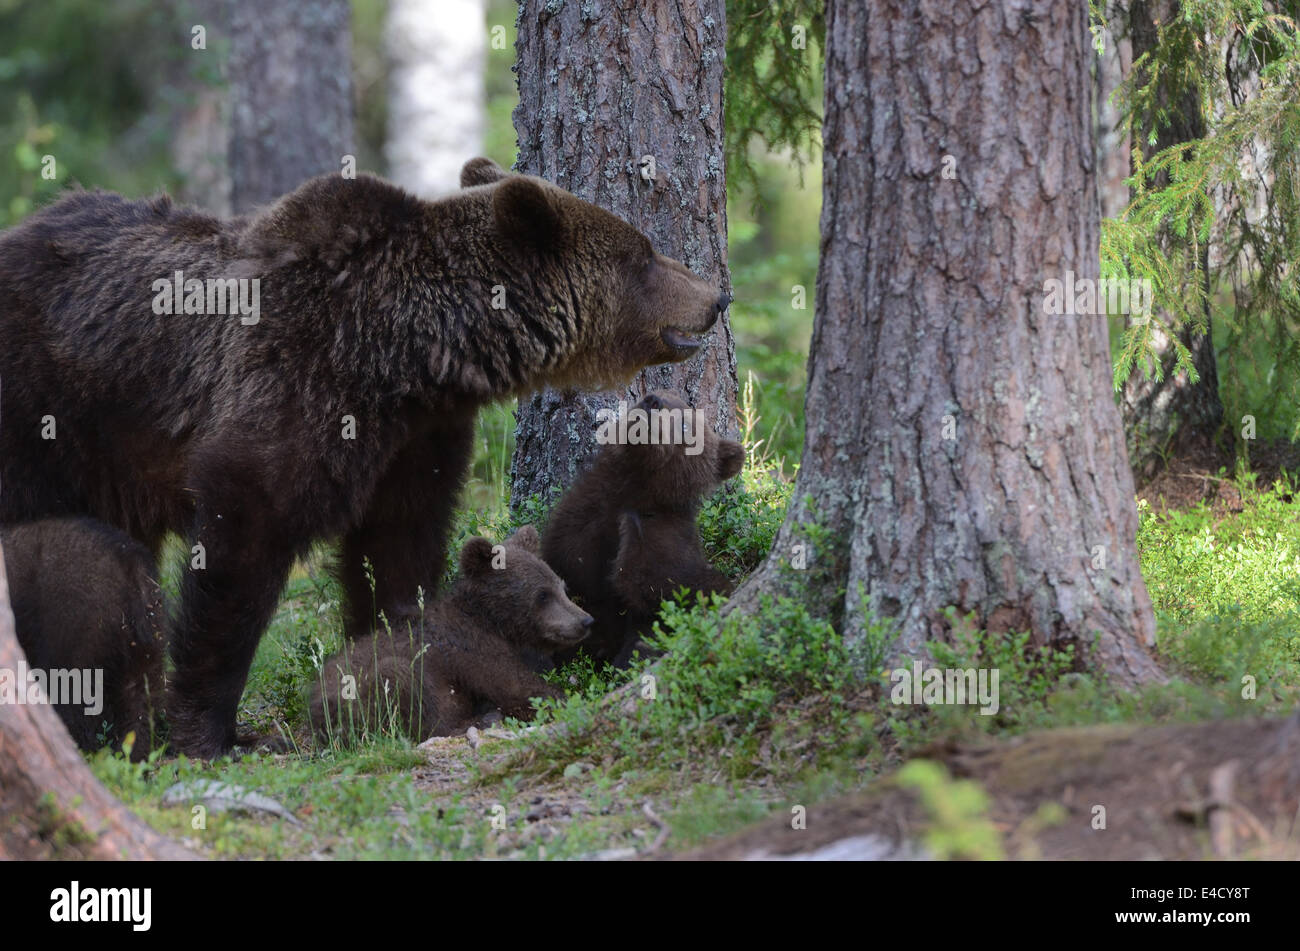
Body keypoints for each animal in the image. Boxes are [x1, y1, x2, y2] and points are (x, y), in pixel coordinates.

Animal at [309, 525, 591, 743]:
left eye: (561, 586)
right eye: (542, 594)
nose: (586, 620)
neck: (493, 621)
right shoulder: (471, 649)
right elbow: (516, 686)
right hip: (359, 696)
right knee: (401, 681)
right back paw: (481, 719)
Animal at [542, 390, 744, 667]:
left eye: (685, 424)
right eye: (662, 394)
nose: (652, 401)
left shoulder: (665, 539)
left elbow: (655, 592)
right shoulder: (582, 519)